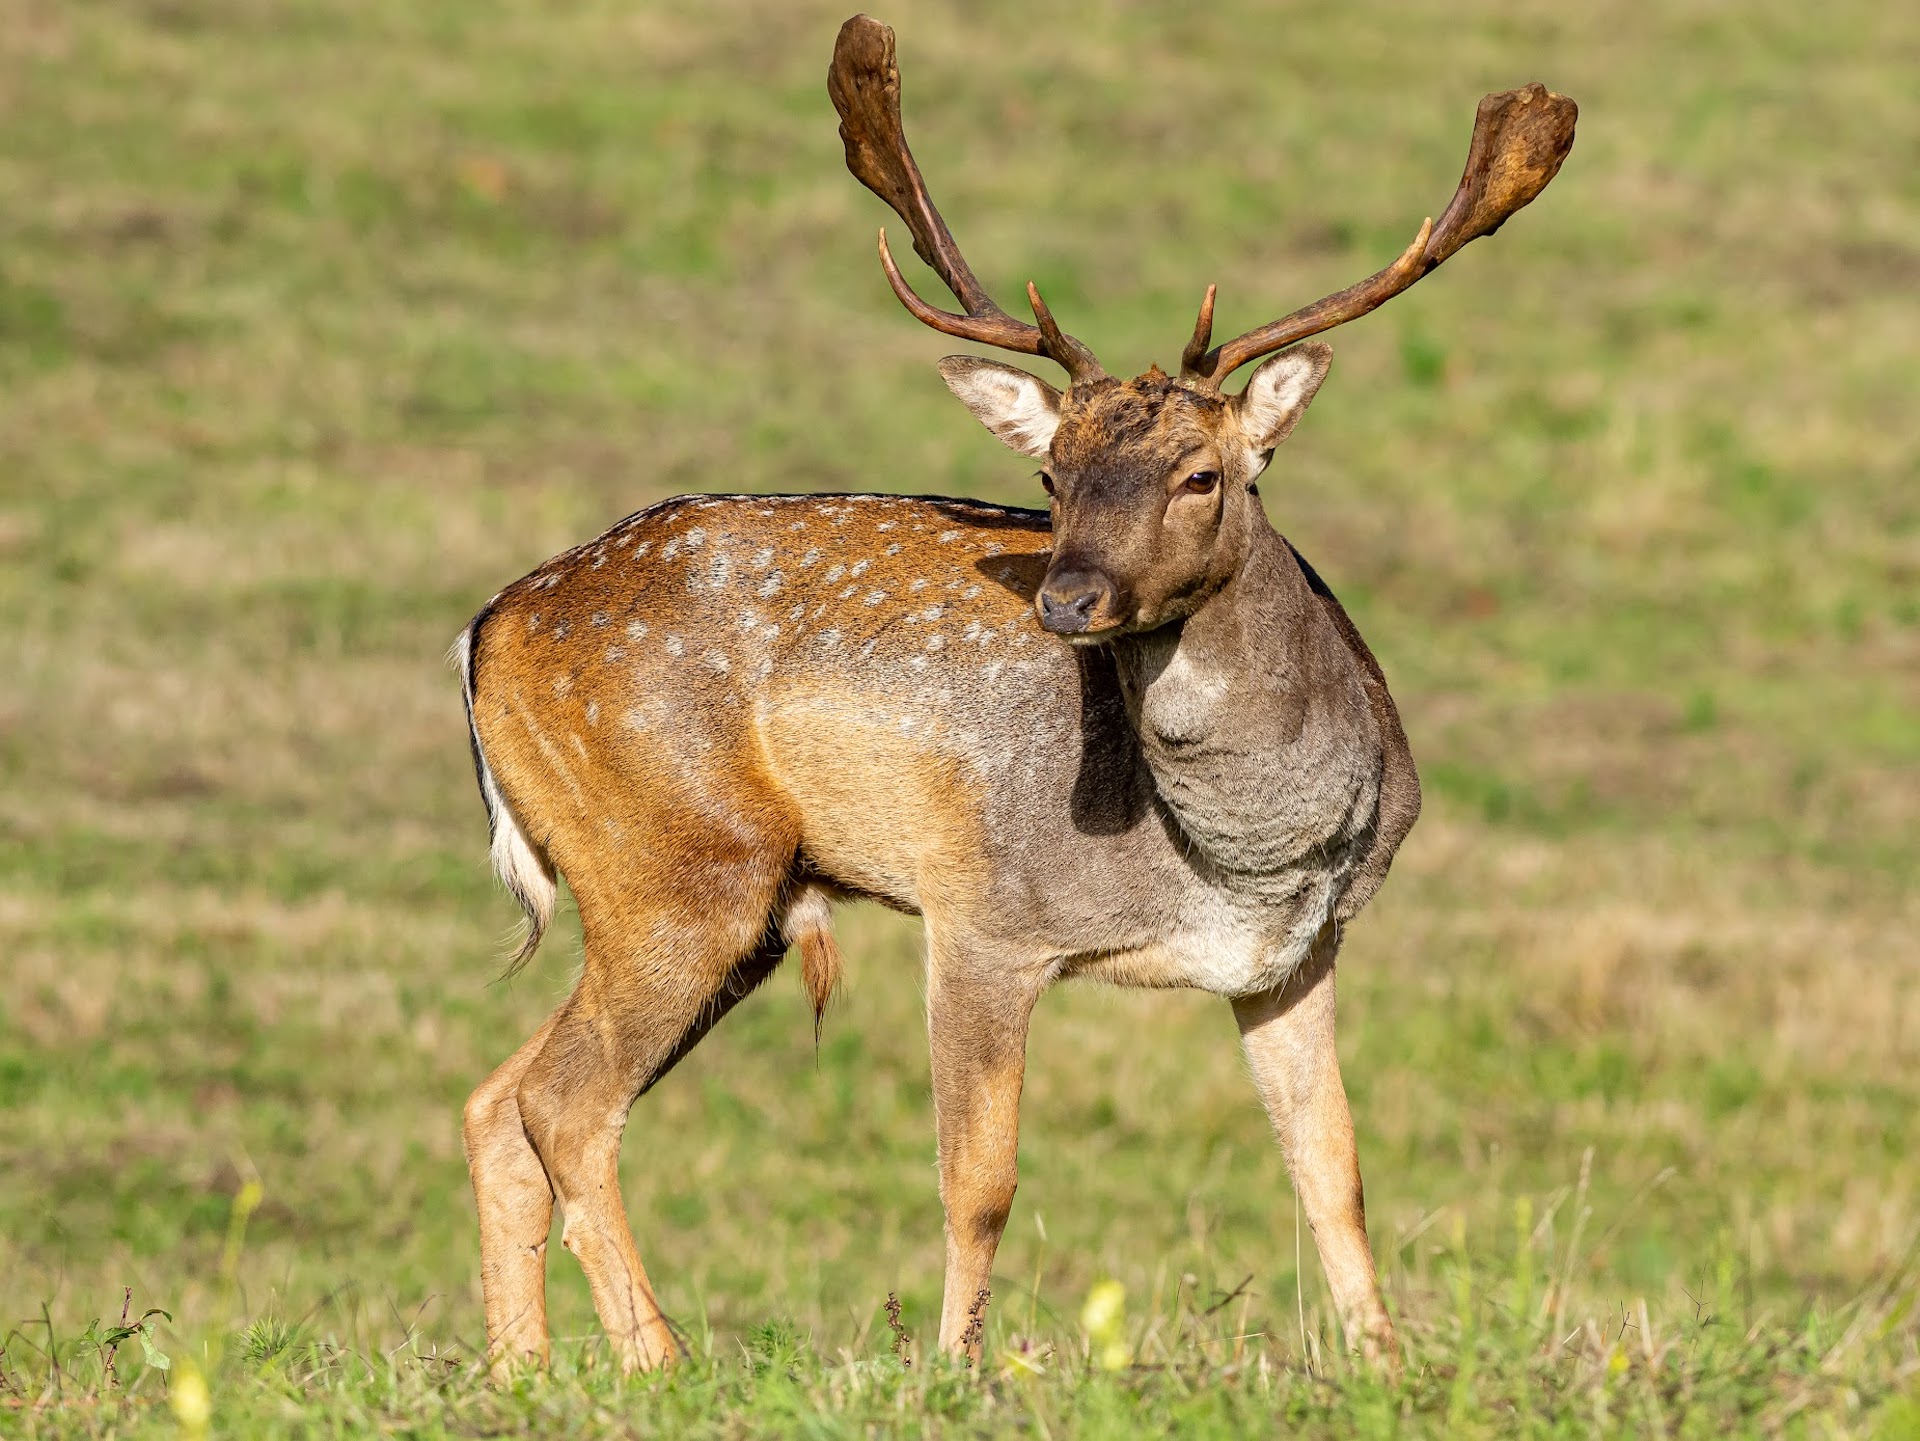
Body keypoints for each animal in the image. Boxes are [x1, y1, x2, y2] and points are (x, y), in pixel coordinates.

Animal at [453, 16, 1574, 1381]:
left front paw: (1386, 1366)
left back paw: (524, 1372)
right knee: (562, 1101)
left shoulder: (1298, 951)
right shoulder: (986, 915)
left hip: (729, 905)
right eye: (1053, 473)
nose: (1070, 598)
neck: (1241, 852)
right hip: (676, 865)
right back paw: (660, 1363)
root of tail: (483, 630)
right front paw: (955, 1368)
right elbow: (979, 1181)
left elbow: (1333, 1171)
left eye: (1202, 473)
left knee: (497, 1098)